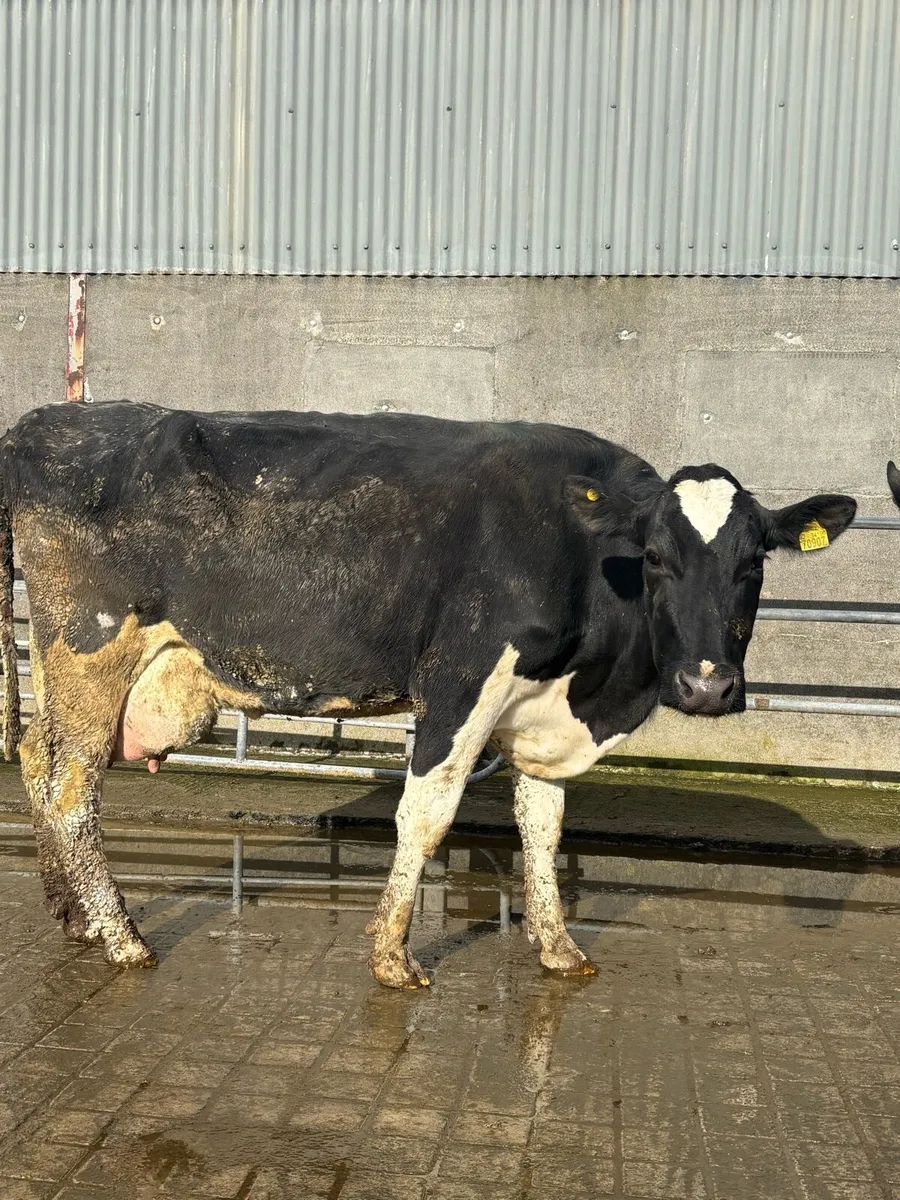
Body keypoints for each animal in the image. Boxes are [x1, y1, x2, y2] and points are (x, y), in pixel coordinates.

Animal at [0, 402, 856, 988]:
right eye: (653, 557)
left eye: (755, 563)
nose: (707, 684)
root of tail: (52, 422)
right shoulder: (460, 683)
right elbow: (428, 814)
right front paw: (392, 956)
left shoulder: (540, 713)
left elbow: (543, 827)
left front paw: (558, 947)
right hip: (92, 648)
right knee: (71, 783)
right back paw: (122, 937)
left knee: (37, 757)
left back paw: (73, 918)